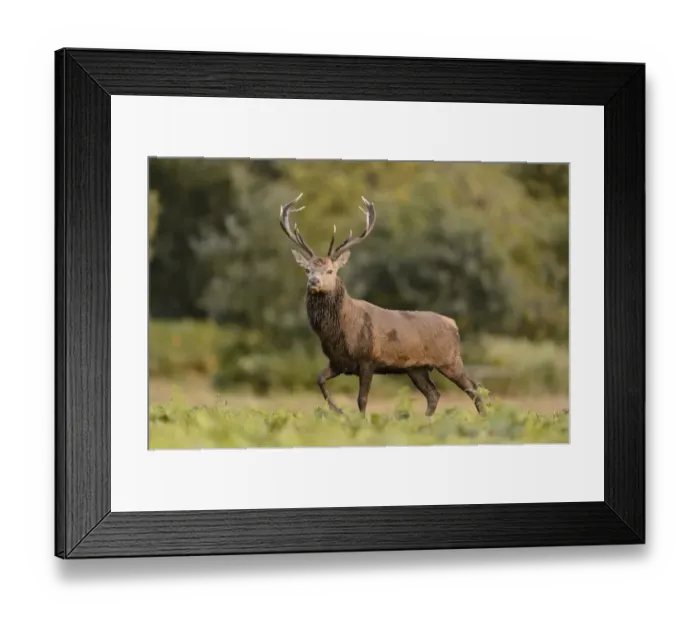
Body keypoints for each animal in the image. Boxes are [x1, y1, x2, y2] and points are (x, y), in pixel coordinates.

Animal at [279, 193, 486, 419]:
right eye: (307, 270)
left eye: (330, 271)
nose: (313, 282)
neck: (339, 332)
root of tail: (454, 324)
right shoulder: (338, 362)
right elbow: (319, 379)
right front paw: (339, 411)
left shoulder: (368, 359)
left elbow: (362, 399)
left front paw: (360, 421)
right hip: (417, 368)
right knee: (434, 393)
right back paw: (424, 421)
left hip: (449, 360)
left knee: (474, 388)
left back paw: (485, 417)